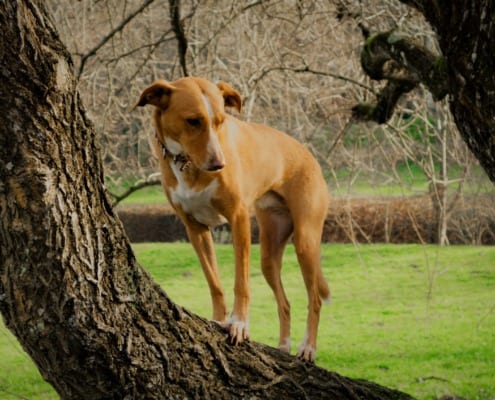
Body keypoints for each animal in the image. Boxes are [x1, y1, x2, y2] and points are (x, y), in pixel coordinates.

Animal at [134, 76, 332, 360]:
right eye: (193, 121)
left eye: (220, 121)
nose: (219, 164)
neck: (188, 164)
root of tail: (309, 155)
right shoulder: (195, 228)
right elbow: (214, 283)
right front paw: (218, 319)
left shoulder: (238, 220)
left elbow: (241, 282)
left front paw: (238, 323)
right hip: (269, 254)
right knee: (284, 302)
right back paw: (283, 345)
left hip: (305, 241)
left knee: (314, 298)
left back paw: (307, 348)